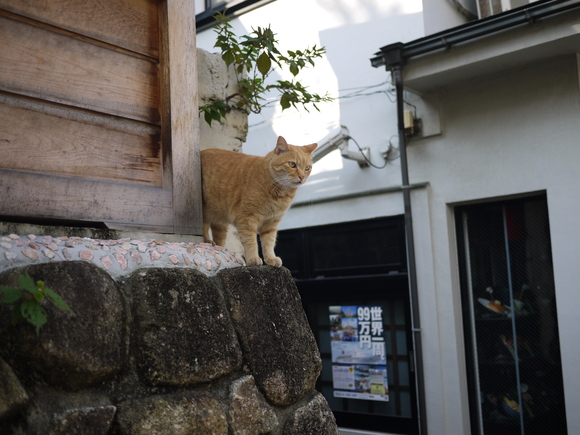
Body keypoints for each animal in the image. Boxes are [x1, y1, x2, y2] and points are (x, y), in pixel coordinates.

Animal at [201, 137, 318, 266]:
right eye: (292, 164)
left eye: (307, 168)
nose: (302, 177)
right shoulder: (247, 219)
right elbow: (251, 241)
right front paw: (253, 258)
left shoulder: (271, 222)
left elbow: (269, 242)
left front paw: (270, 258)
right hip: (204, 210)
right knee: (204, 226)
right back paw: (207, 241)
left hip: (220, 223)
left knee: (219, 238)